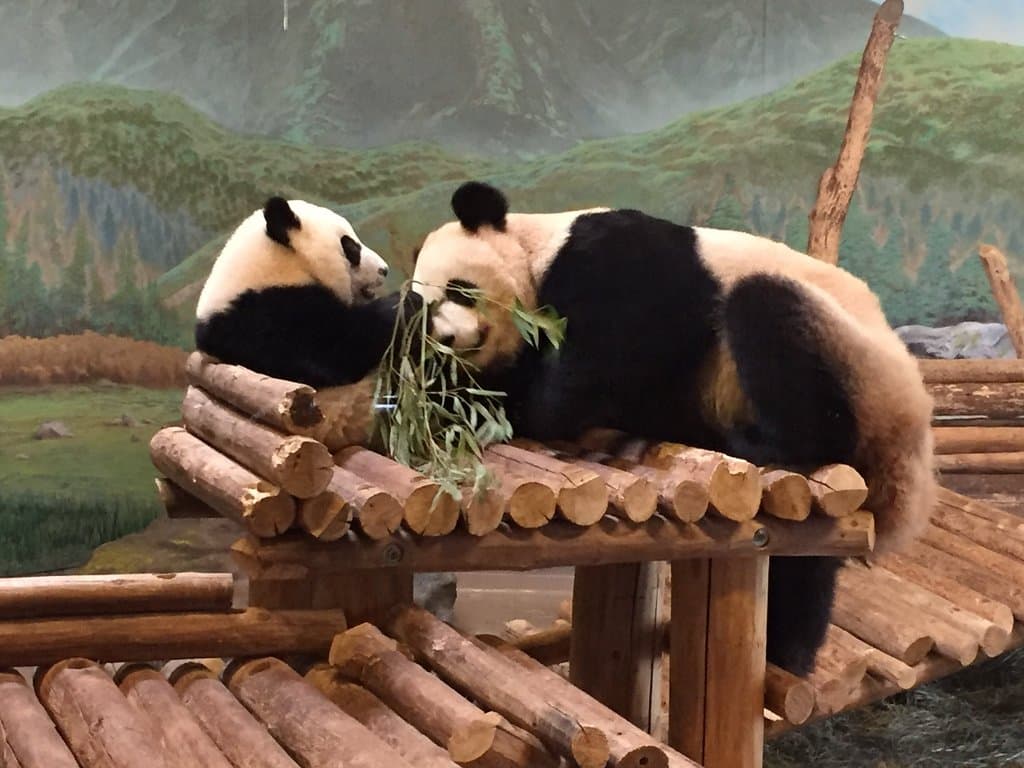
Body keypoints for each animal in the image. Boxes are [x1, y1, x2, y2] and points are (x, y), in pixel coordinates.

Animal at [411, 180, 936, 675]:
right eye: (427, 312)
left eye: (459, 289)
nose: (450, 338)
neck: (535, 248)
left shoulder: (616, 258)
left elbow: (606, 361)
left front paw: (524, 404)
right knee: (804, 569)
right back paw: (788, 650)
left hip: (858, 364)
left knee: (768, 313)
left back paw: (753, 442)